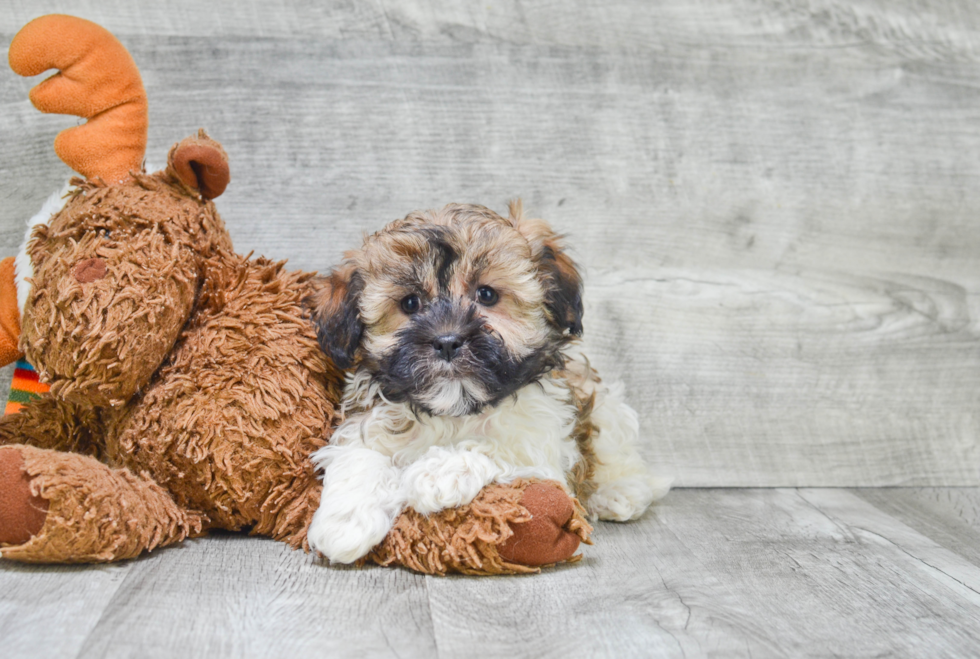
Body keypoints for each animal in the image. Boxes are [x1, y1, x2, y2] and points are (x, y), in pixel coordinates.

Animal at [310, 204, 668, 564]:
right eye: (410, 303)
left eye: (487, 294)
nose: (447, 342)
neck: (456, 409)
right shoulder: (367, 422)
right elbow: (359, 455)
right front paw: (344, 523)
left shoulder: (544, 452)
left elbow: (495, 445)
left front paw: (438, 473)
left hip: (607, 411)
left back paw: (619, 493)